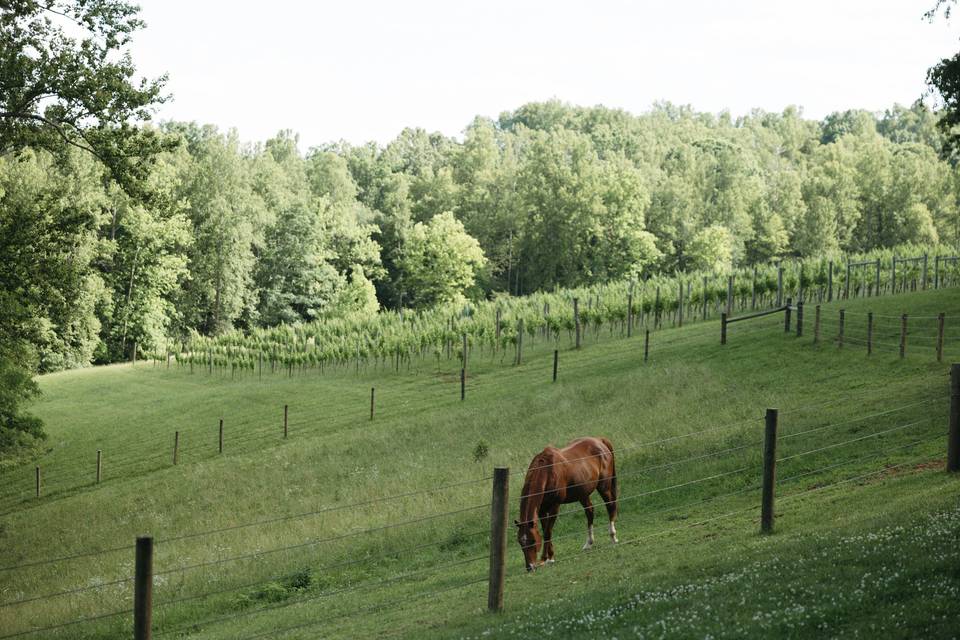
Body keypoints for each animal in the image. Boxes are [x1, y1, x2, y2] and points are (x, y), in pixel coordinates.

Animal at [514, 436, 618, 572]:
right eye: (520, 542)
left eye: (532, 541)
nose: (530, 567)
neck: (547, 471)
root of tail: (599, 440)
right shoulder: (542, 510)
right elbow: (546, 531)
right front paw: (550, 556)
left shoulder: (554, 507)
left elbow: (547, 532)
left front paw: (547, 559)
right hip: (583, 493)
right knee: (590, 511)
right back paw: (588, 543)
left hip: (604, 487)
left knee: (610, 506)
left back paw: (613, 537)